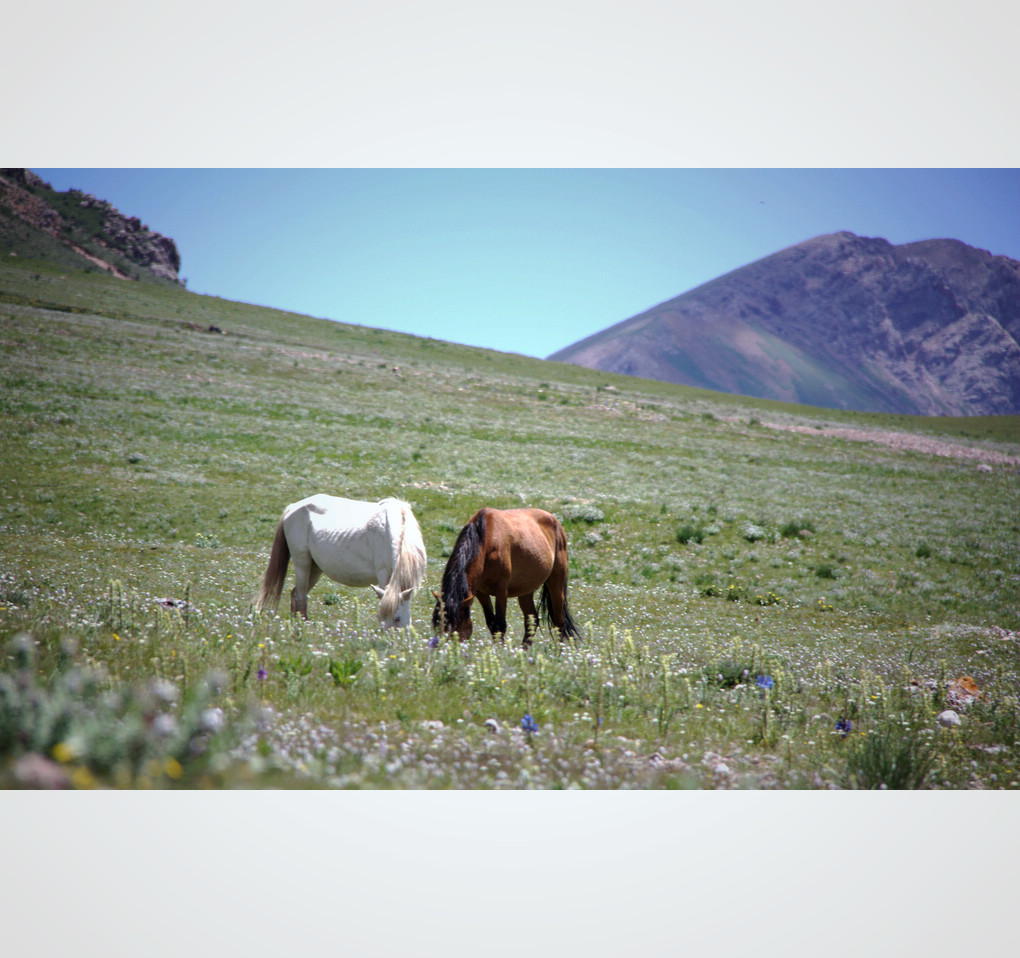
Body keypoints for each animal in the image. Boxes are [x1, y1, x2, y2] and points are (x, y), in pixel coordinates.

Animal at [259, 493, 430, 628]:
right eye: (379, 617)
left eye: (398, 618)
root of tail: (292, 508)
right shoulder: (383, 574)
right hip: (302, 563)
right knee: (300, 596)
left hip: (315, 568)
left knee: (296, 594)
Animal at [430, 506, 579, 648]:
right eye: (437, 625)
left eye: (455, 627)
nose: (444, 648)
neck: (486, 539)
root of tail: (555, 521)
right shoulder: (481, 593)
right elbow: (491, 623)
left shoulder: (501, 590)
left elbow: (500, 625)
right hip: (525, 590)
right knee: (532, 621)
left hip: (556, 583)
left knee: (559, 623)